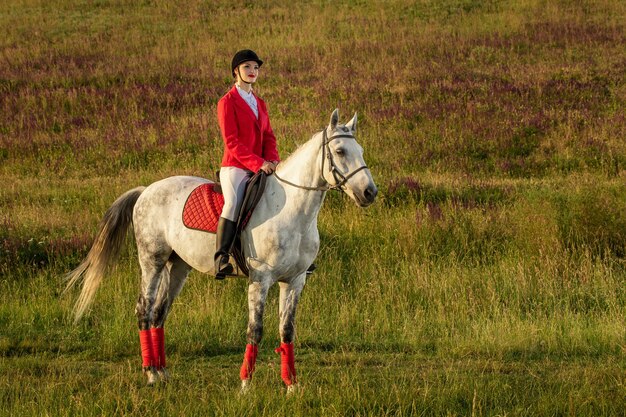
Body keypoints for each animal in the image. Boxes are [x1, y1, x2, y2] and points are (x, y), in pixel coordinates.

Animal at [64, 109, 376, 388]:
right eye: (339, 151)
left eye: (359, 150)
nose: (369, 192)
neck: (294, 212)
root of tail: (146, 190)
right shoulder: (260, 279)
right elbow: (255, 330)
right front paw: (246, 385)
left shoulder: (294, 281)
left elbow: (287, 332)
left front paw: (291, 386)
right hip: (152, 260)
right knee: (145, 308)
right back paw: (150, 373)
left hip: (178, 266)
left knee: (160, 311)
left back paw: (163, 373)